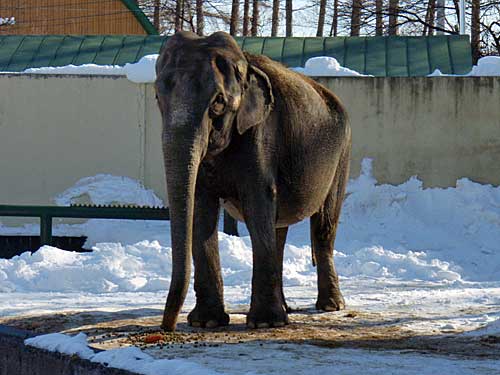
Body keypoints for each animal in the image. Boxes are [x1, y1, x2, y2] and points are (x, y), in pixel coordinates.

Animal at [156, 31, 352, 332]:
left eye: (218, 102)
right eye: (157, 97)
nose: (168, 327)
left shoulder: (261, 135)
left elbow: (257, 202)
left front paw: (265, 323)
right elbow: (201, 209)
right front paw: (207, 322)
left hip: (342, 154)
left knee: (323, 226)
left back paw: (330, 306)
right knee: (279, 229)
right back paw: (287, 309)